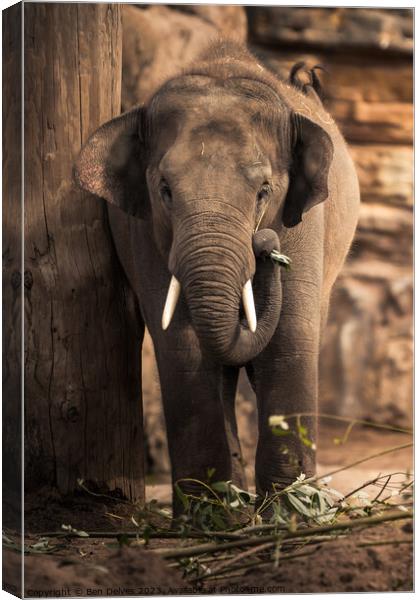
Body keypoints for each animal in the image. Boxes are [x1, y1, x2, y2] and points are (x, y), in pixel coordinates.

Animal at [74, 39, 360, 512]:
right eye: (165, 191)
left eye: (264, 190)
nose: (266, 247)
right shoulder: (143, 232)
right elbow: (182, 346)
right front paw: (209, 514)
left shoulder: (304, 224)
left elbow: (289, 341)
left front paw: (291, 511)